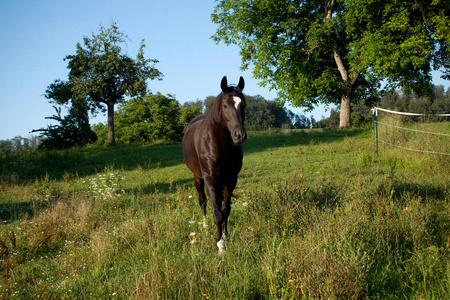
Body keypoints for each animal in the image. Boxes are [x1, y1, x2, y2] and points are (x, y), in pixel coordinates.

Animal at [182, 76, 246, 254]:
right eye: (225, 105)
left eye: (244, 104)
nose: (239, 135)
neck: (220, 144)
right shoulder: (210, 179)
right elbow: (216, 213)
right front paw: (220, 246)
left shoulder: (231, 180)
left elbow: (225, 210)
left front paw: (225, 236)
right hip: (198, 177)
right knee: (202, 200)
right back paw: (205, 226)